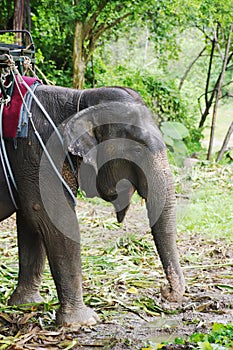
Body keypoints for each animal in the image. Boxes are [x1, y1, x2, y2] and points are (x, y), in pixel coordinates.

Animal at [0, 83, 186, 326]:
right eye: (136, 151)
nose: (165, 292)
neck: (80, 100)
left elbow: (29, 220)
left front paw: (26, 304)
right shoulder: (38, 155)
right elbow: (51, 217)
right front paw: (83, 322)